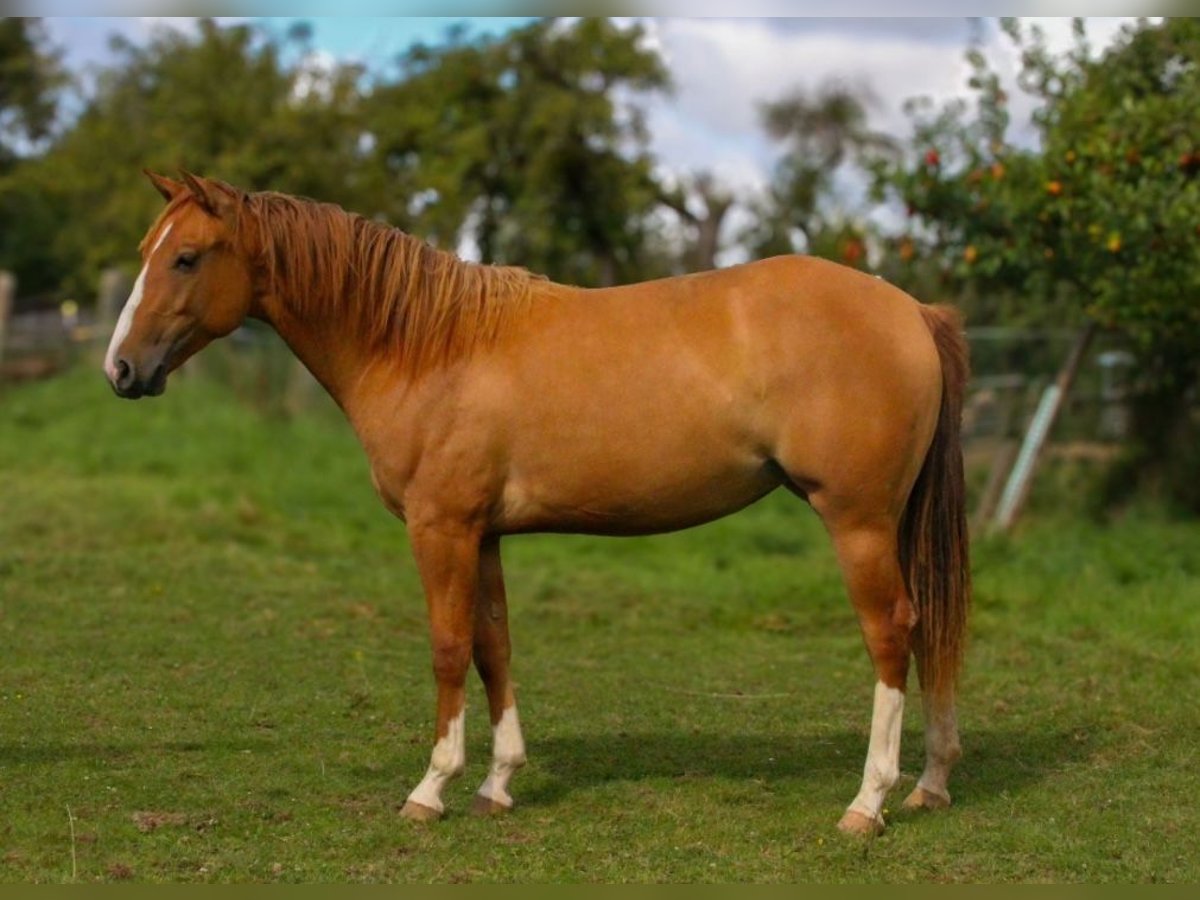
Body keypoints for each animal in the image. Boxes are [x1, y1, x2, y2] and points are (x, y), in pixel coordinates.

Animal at [100, 170, 964, 840]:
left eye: (185, 257)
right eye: (147, 252)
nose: (120, 369)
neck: (426, 345)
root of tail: (911, 311)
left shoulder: (441, 529)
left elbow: (449, 648)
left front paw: (431, 788)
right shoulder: (482, 534)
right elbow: (495, 646)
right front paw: (497, 783)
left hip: (857, 523)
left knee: (892, 635)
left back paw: (869, 802)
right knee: (928, 630)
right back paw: (931, 783)